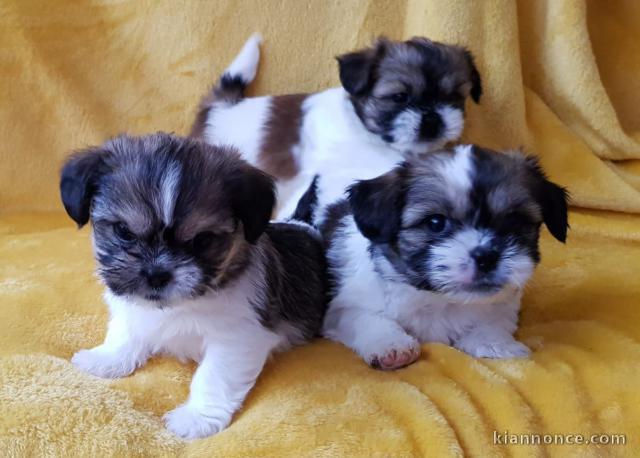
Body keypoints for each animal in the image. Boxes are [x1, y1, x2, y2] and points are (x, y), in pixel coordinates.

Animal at [59, 133, 328, 440]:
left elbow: (213, 376)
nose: (156, 273)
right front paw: (107, 358)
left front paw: (196, 417)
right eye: (124, 232)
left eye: (202, 241)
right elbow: (125, 331)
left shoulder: (238, 337)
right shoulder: (131, 308)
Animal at [298, 145, 568, 370]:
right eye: (436, 223)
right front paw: (391, 344)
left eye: (514, 222)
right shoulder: (341, 308)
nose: (487, 256)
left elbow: (494, 319)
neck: (439, 298)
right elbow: (365, 318)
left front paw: (495, 343)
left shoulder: (503, 302)